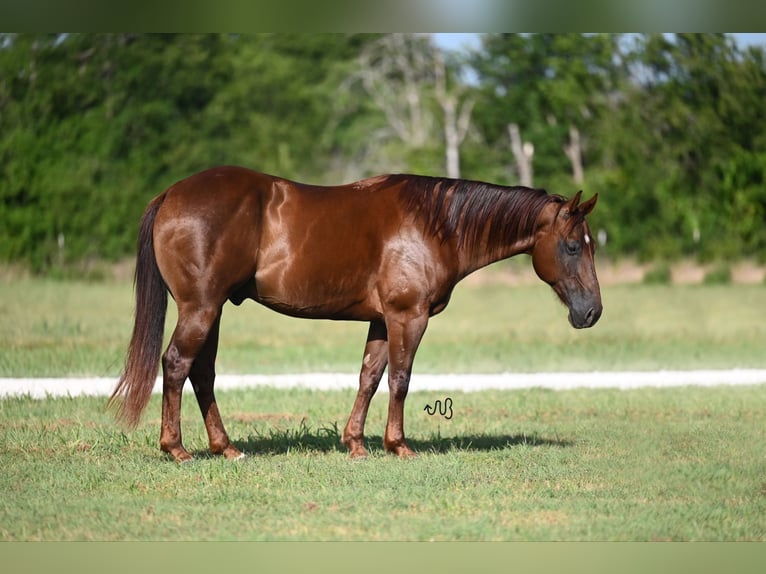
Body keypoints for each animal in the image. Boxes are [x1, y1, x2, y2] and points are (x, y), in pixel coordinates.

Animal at [109, 166, 600, 464]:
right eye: (573, 246)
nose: (592, 312)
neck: (435, 225)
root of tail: (172, 193)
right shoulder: (408, 316)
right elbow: (400, 378)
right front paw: (398, 445)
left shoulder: (382, 320)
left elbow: (369, 376)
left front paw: (356, 443)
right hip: (201, 308)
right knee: (177, 365)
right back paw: (176, 449)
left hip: (210, 310)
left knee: (202, 372)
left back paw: (226, 448)